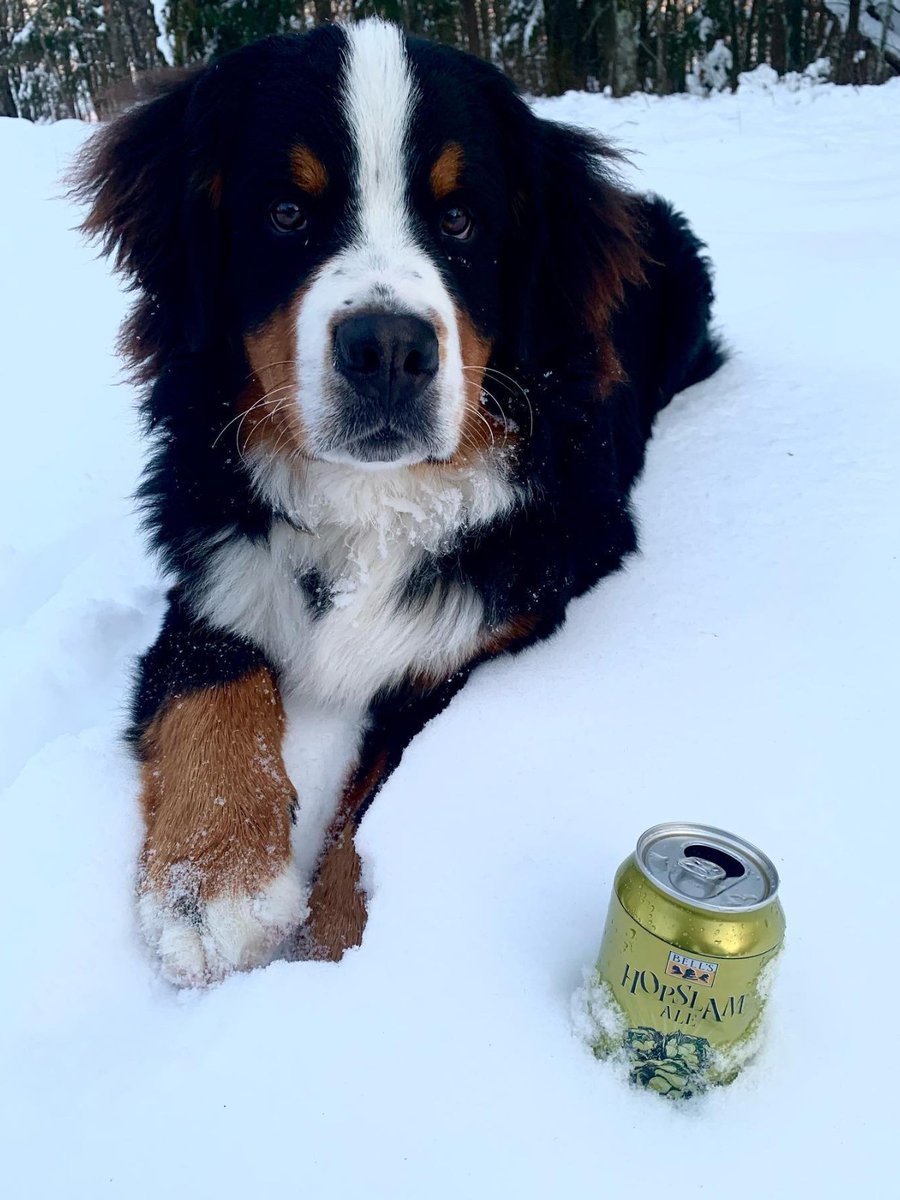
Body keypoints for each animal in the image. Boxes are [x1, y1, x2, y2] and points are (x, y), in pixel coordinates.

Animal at [75, 18, 724, 984]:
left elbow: (383, 778)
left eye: (459, 219)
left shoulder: (505, 614)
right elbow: (208, 679)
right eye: (286, 213)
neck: (373, 502)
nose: (387, 349)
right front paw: (212, 883)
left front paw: (331, 950)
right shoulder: (212, 558)